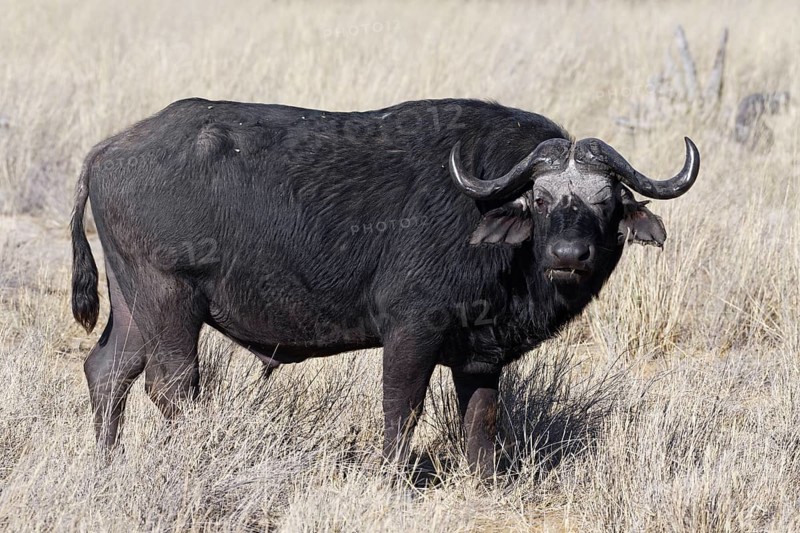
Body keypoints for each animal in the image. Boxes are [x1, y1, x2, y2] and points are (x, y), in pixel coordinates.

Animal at [71, 97, 699, 473]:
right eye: (541, 200)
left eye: (604, 201)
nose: (570, 256)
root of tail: (105, 151)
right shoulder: (410, 333)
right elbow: (402, 411)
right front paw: (392, 478)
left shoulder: (481, 355)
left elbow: (481, 419)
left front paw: (483, 482)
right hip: (171, 300)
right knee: (171, 387)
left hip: (135, 303)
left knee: (107, 372)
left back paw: (107, 464)